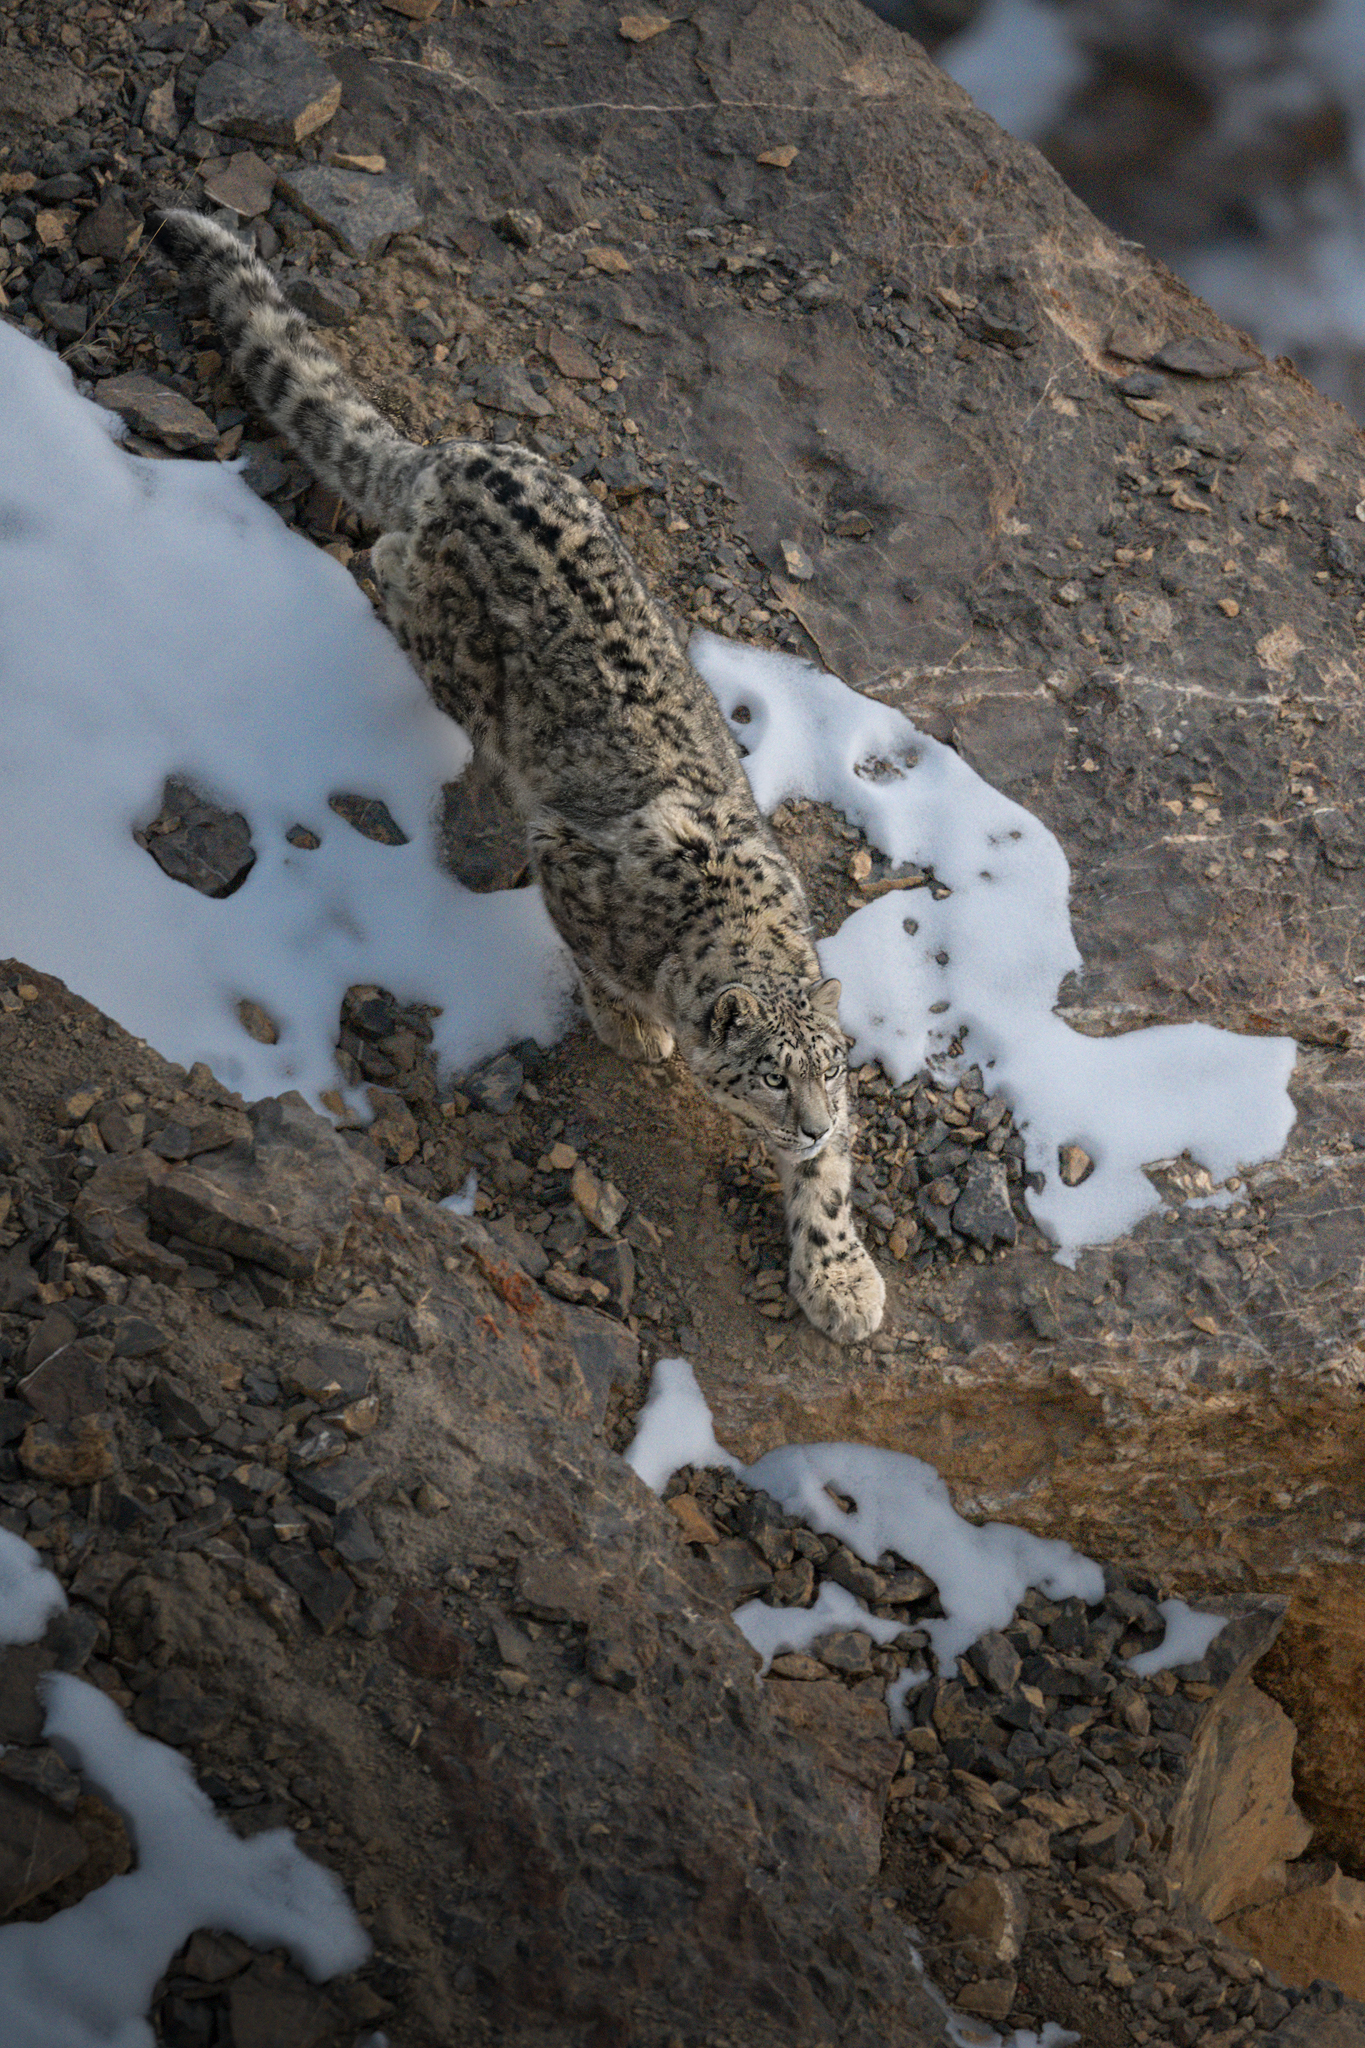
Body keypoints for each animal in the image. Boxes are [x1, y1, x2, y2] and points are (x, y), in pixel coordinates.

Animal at [151, 210, 885, 1343]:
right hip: (446, 638)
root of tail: (451, 454)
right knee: (389, 578)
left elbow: (833, 1191)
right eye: (769, 1075)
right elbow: (597, 965)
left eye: (831, 1068)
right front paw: (635, 1029)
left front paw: (841, 1277)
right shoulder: (571, 873)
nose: (805, 1126)